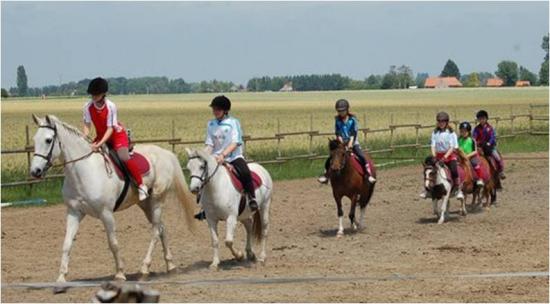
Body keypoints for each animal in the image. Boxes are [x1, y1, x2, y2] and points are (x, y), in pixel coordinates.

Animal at [30, 114, 196, 282]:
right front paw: (61, 277)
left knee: (156, 231)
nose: (35, 171)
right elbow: (67, 244)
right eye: (35, 139)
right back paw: (171, 265)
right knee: (162, 228)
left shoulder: (106, 213)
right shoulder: (74, 212)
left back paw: (144, 268)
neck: (83, 171)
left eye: (48, 140)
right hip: (145, 204)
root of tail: (165, 153)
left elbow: (113, 244)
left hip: (157, 200)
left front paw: (120, 273)